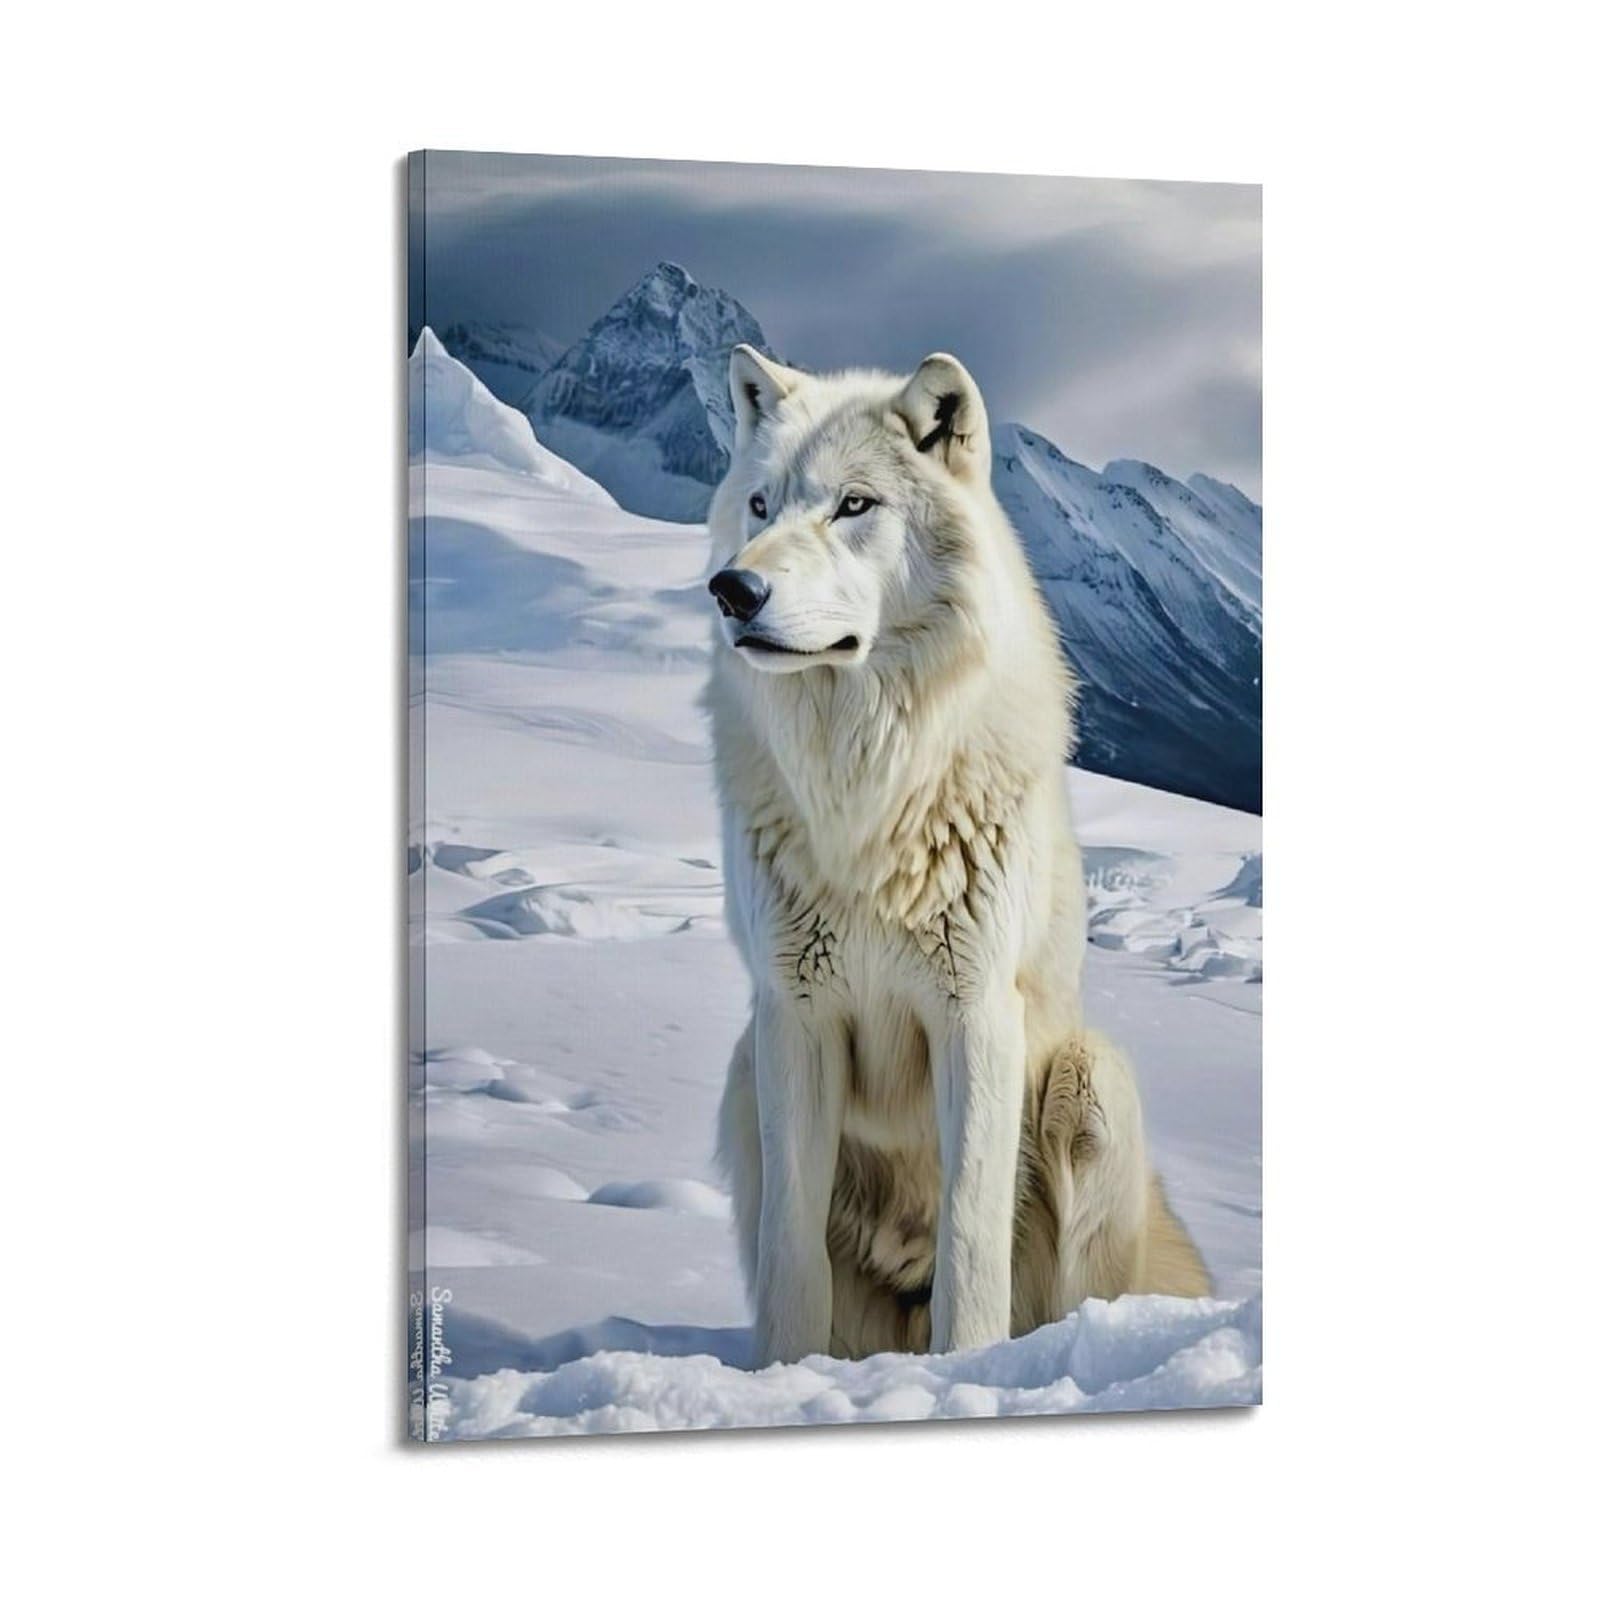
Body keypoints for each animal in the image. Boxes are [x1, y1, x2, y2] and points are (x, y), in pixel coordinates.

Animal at [706, 344, 1209, 1366]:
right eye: (760, 505)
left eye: (854, 505)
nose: (734, 590)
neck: (866, 793)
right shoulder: (792, 1016)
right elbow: (790, 1258)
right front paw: (784, 1377)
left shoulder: (973, 1013)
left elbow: (973, 1244)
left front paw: (965, 1373)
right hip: (742, 1075)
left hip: (1093, 1081)